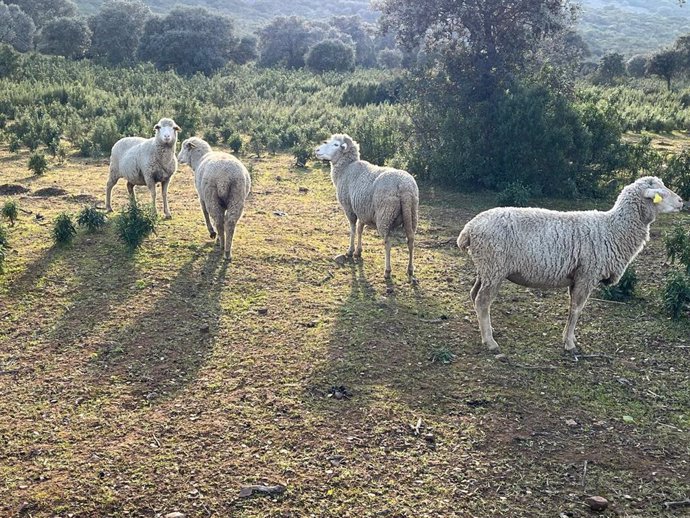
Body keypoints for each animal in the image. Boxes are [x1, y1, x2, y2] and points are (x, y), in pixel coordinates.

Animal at [314, 132, 416, 282]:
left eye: (336, 144)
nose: (317, 150)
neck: (346, 168)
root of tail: (404, 187)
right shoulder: (362, 209)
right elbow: (360, 229)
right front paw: (358, 251)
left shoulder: (350, 208)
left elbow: (352, 229)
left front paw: (350, 251)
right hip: (412, 215)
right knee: (411, 241)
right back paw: (410, 269)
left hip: (385, 216)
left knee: (388, 243)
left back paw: (387, 271)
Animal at [456, 177, 684, 356]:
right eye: (660, 192)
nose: (682, 201)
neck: (613, 229)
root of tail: (469, 229)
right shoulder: (587, 274)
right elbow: (576, 309)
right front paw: (569, 344)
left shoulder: (577, 276)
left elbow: (573, 308)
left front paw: (568, 338)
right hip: (494, 268)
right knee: (482, 301)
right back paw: (490, 342)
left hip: (485, 269)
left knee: (474, 295)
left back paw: (487, 331)